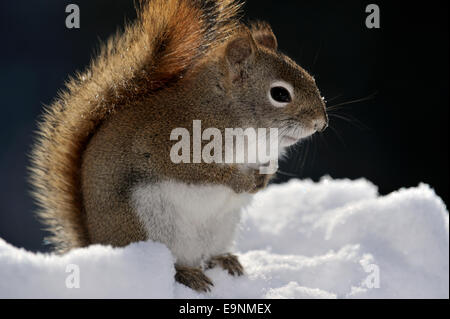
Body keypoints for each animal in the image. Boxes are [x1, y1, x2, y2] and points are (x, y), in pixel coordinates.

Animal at [29, 0, 328, 292]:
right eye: (280, 94)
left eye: (311, 78)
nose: (321, 123)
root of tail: (96, 242)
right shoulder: (165, 143)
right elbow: (201, 172)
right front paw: (240, 180)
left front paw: (264, 177)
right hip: (148, 225)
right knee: (171, 266)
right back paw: (186, 274)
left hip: (221, 228)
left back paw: (224, 260)